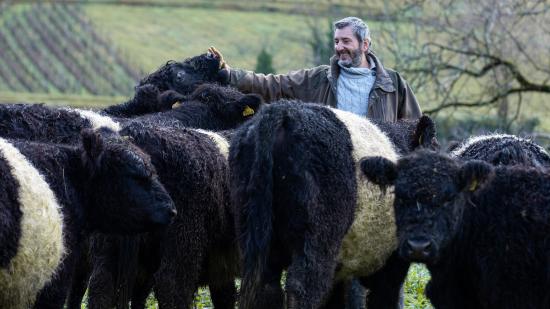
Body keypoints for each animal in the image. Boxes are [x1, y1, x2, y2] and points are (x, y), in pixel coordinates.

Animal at [226, 101, 438, 308]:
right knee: (303, 287)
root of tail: (281, 111)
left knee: (266, 287)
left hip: (255, 229)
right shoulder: (392, 262)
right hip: (319, 236)